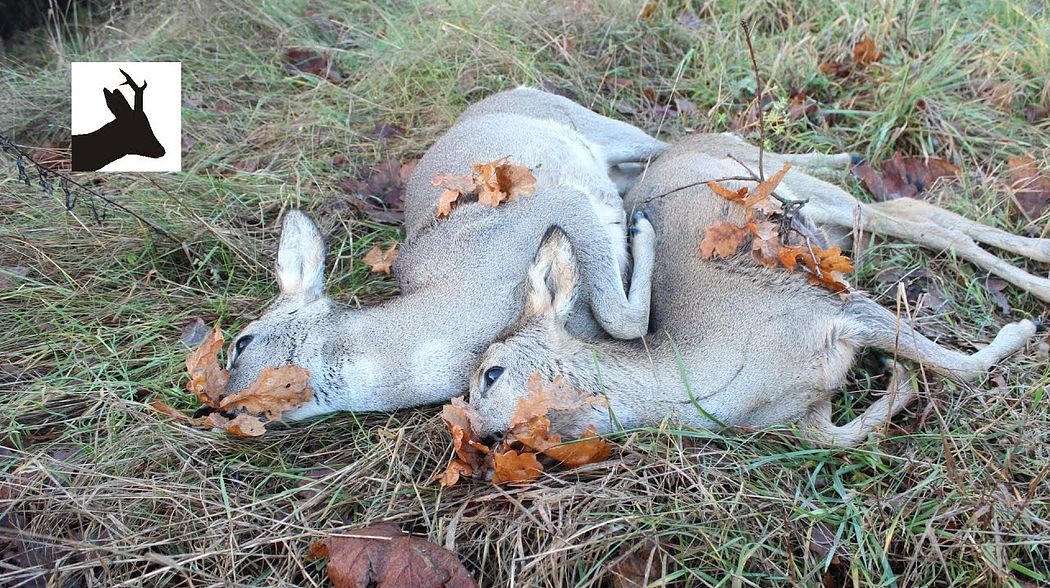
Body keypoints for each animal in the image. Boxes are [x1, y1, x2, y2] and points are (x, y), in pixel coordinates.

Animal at [222, 88, 663, 417]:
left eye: (240, 344)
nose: (223, 406)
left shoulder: (556, 204)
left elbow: (625, 321)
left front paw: (642, 229)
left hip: (595, 125)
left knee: (658, 145)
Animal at [470, 133, 1041, 445]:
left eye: (489, 374)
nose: (478, 432)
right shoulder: (805, 415)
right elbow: (843, 436)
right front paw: (899, 378)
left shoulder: (832, 304)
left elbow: (965, 368)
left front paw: (1017, 333)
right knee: (914, 215)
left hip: (796, 196)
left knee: (921, 219)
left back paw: (1041, 279)